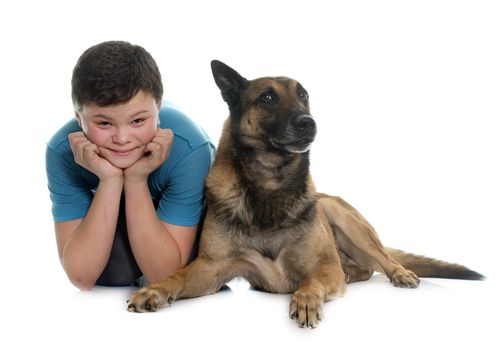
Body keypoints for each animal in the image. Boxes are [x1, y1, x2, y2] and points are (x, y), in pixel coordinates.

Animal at [126, 60, 482, 328]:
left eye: (304, 95)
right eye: (268, 98)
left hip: (346, 221)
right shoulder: (211, 268)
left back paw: (400, 273)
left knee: (383, 259)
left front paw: (307, 300)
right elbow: (177, 276)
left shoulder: (323, 267)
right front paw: (154, 290)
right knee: (363, 269)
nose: (308, 122)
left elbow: (311, 282)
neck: (270, 183)